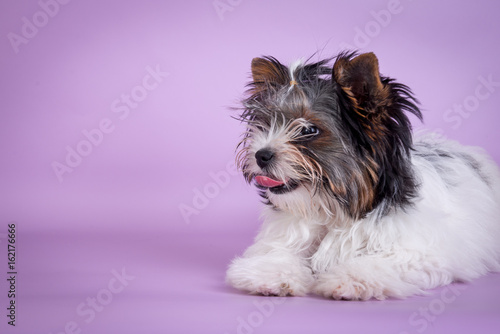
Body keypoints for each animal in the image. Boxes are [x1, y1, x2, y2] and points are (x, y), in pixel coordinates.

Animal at [227, 51, 500, 300]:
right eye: (265, 124)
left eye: (309, 130)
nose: (261, 155)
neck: (336, 209)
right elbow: (278, 252)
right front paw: (270, 274)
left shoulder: (418, 252)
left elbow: (381, 261)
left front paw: (348, 279)